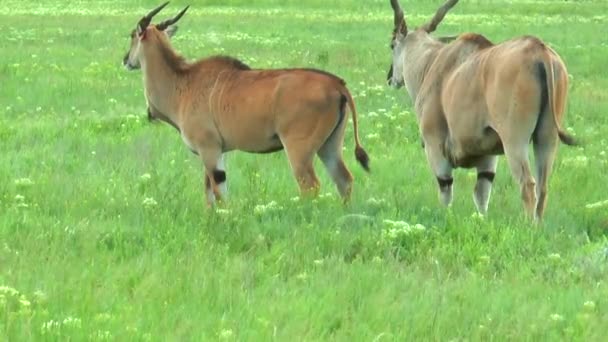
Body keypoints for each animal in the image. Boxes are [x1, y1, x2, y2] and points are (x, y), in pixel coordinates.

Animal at [121, 2, 368, 207]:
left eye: (133, 35)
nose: (126, 60)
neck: (183, 82)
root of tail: (337, 83)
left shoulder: (208, 149)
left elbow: (218, 194)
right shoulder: (218, 151)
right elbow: (210, 194)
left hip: (299, 150)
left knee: (311, 186)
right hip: (329, 146)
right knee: (344, 180)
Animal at [388, 0, 576, 220]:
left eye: (392, 45)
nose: (390, 78)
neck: (432, 62)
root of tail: (540, 51)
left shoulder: (434, 144)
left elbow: (446, 191)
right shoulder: (489, 156)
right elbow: (482, 195)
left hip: (514, 140)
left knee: (527, 184)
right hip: (547, 137)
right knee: (543, 186)